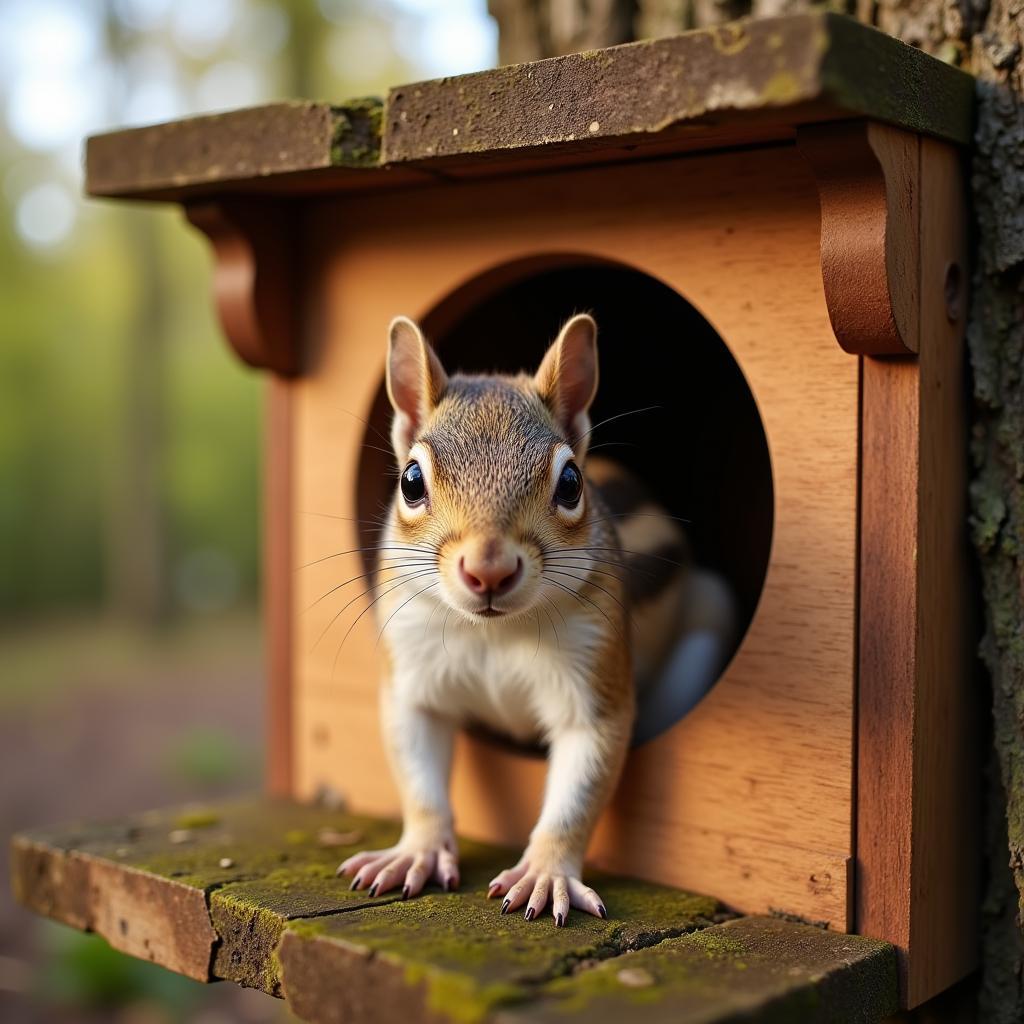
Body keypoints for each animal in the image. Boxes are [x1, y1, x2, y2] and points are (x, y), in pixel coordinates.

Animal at [337, 313, 737, 929]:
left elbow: (578, 792)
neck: (493, 630)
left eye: (571, 483)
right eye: (410, 481)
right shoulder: (413, 676)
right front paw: (416, 852)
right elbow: (419, 777)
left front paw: (547, 873)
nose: (489, 569)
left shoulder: (594, 682)